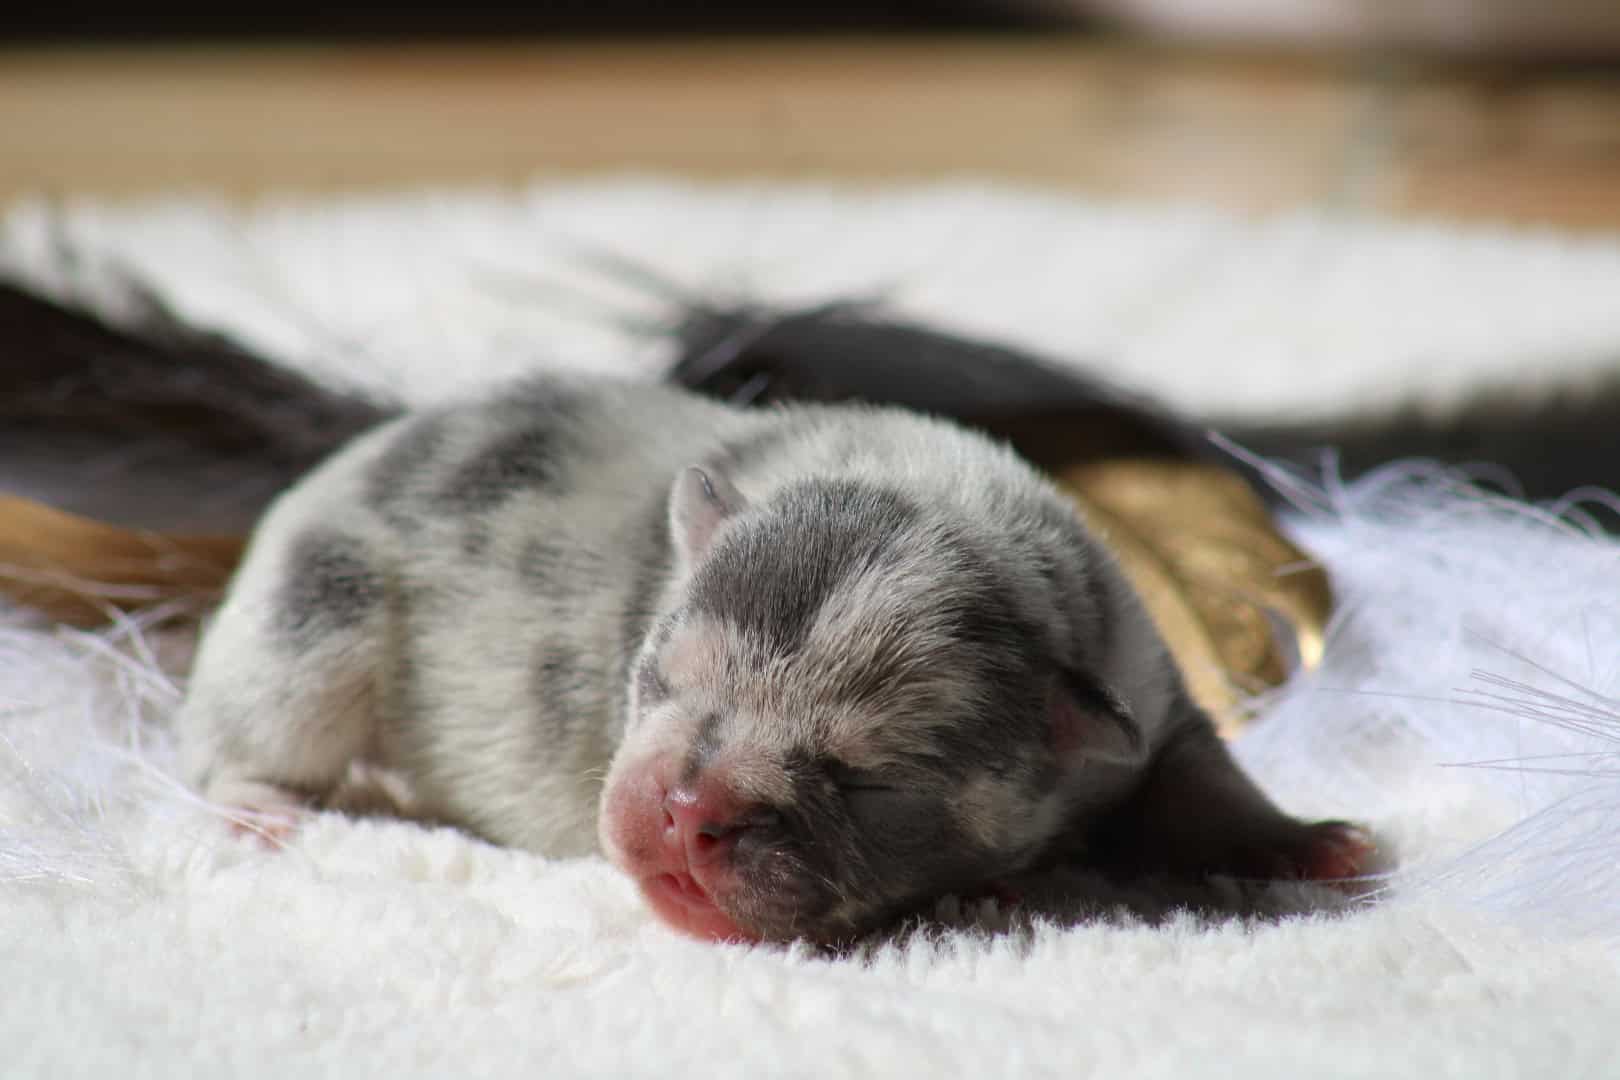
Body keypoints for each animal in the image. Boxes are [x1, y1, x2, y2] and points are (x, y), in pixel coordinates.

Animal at [177, 374, 1367, 945]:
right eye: (657, 681)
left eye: (869, 780)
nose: (685, 807)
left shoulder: (1146, 691)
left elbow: (1206, 777)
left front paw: (1303, 841)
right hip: (309, 623)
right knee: (249, 732)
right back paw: (255, 805)